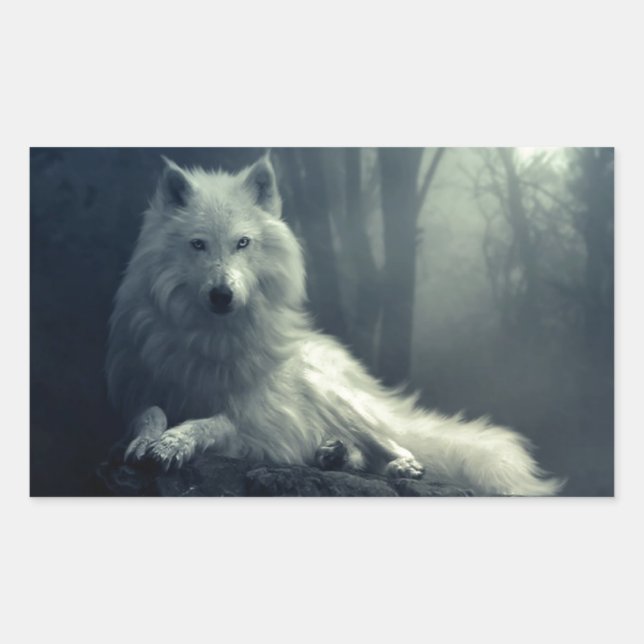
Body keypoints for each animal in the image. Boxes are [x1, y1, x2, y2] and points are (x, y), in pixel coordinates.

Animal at [106, 155, 564, 496]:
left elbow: (212, 422)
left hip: (337, 400)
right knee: (355, 452)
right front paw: (148, 440)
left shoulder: (253, 418)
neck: (211, 338)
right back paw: (332, 454)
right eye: (198, 244)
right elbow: (149, 414)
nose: (222, 295)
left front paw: (173, 443)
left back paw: (399, 465)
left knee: (394, 444)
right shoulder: (137, 391)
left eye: (243, 243)